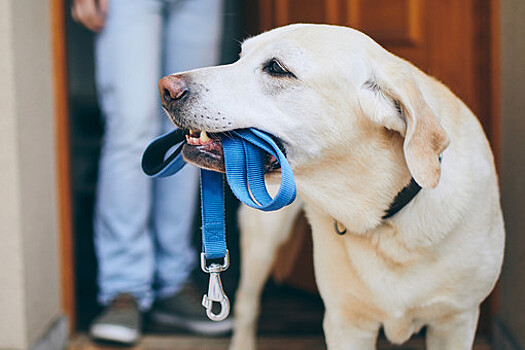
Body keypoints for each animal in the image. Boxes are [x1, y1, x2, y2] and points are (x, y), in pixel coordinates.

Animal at [157, 23, 504, 348]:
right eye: (241, 57)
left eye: (277, 69)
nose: (166, 88)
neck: (385, 212)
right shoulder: (345, 324)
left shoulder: (456, 321)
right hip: (262, 236)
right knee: (246, 305)